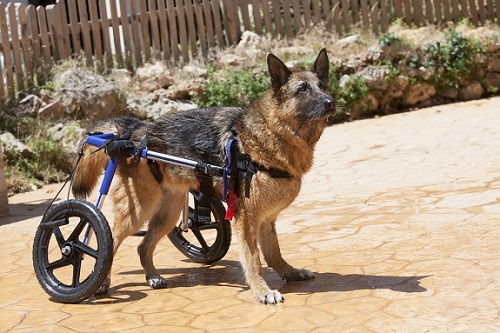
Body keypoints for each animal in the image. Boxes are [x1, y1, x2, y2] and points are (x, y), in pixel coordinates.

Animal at [71, 49, 336, 304]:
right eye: (302, 89)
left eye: (323, 86)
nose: (331, 102)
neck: (272, 134)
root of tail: (135, 131)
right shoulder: (247, 219)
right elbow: (253, 258)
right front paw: (262, 291)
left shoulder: (266, 219)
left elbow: (274, 253)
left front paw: (289, 273)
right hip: (138, 211)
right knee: (109, 242)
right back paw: (101, 282)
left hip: (168, 214)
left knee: (143, 246)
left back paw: (153, 276)